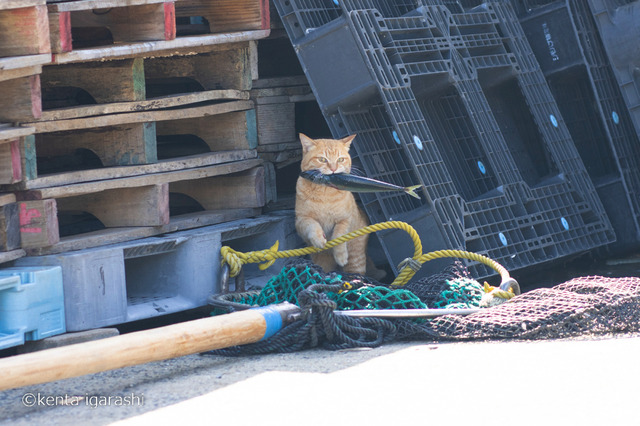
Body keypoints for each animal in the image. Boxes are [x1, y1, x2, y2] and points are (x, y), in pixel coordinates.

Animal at [298, 131, 372, 274]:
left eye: (340, 159)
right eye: (322, 160)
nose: (333, 169)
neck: (325, 193)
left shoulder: (345, 220)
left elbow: (338, 236)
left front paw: (341, 256)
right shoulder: (302, 219)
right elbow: (312, 225)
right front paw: (318, 239)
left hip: (356, 261)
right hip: (322, 262)